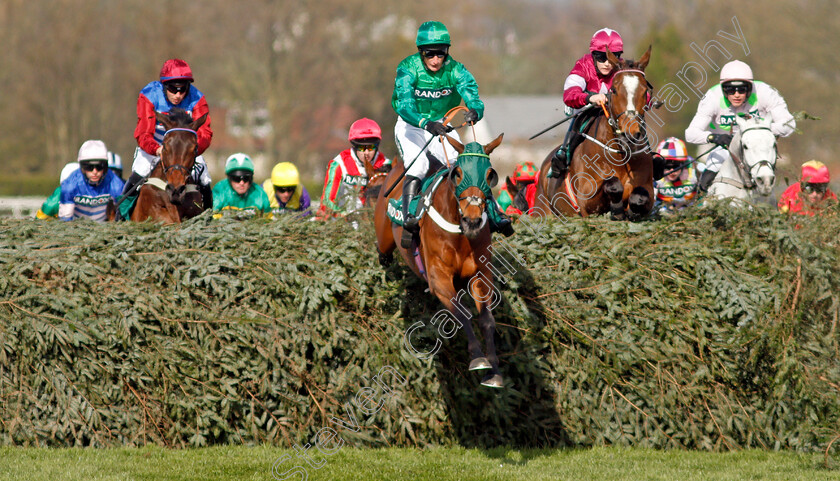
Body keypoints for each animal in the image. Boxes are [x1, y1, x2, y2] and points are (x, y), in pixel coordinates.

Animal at [376, 133, 506, 388]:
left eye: (490, 174)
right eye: (458, 174)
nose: (473, 221)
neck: (459, 232)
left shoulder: (480, 276)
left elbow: (487, 319)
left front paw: (494, 371)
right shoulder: (439, 279)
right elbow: (461, 312)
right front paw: (478, 358)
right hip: (384, 238)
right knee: (383, 255)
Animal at [540, 47, 656, 219]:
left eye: (645, 91)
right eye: (614, 90)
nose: (629, 134)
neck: (621, 155)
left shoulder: (648, 189)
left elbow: (640, 195)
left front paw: (631, 212)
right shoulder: (587, 200)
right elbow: (613, 184)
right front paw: (617, 210)